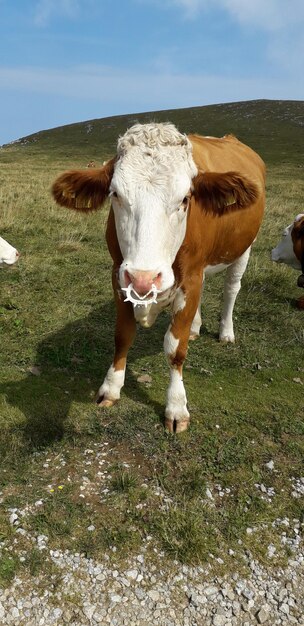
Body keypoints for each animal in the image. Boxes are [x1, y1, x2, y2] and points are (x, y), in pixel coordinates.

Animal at [52, 124, 266, 432]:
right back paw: (195, 327)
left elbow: (175, 349)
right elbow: (123, 335)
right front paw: (111, 387)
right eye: (115, 194)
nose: (144, 278)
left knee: (231, 289)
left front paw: (176, 406)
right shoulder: (119, 276)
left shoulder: (190, 278)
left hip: (244, 248)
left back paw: (226, 331)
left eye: (186, 198)